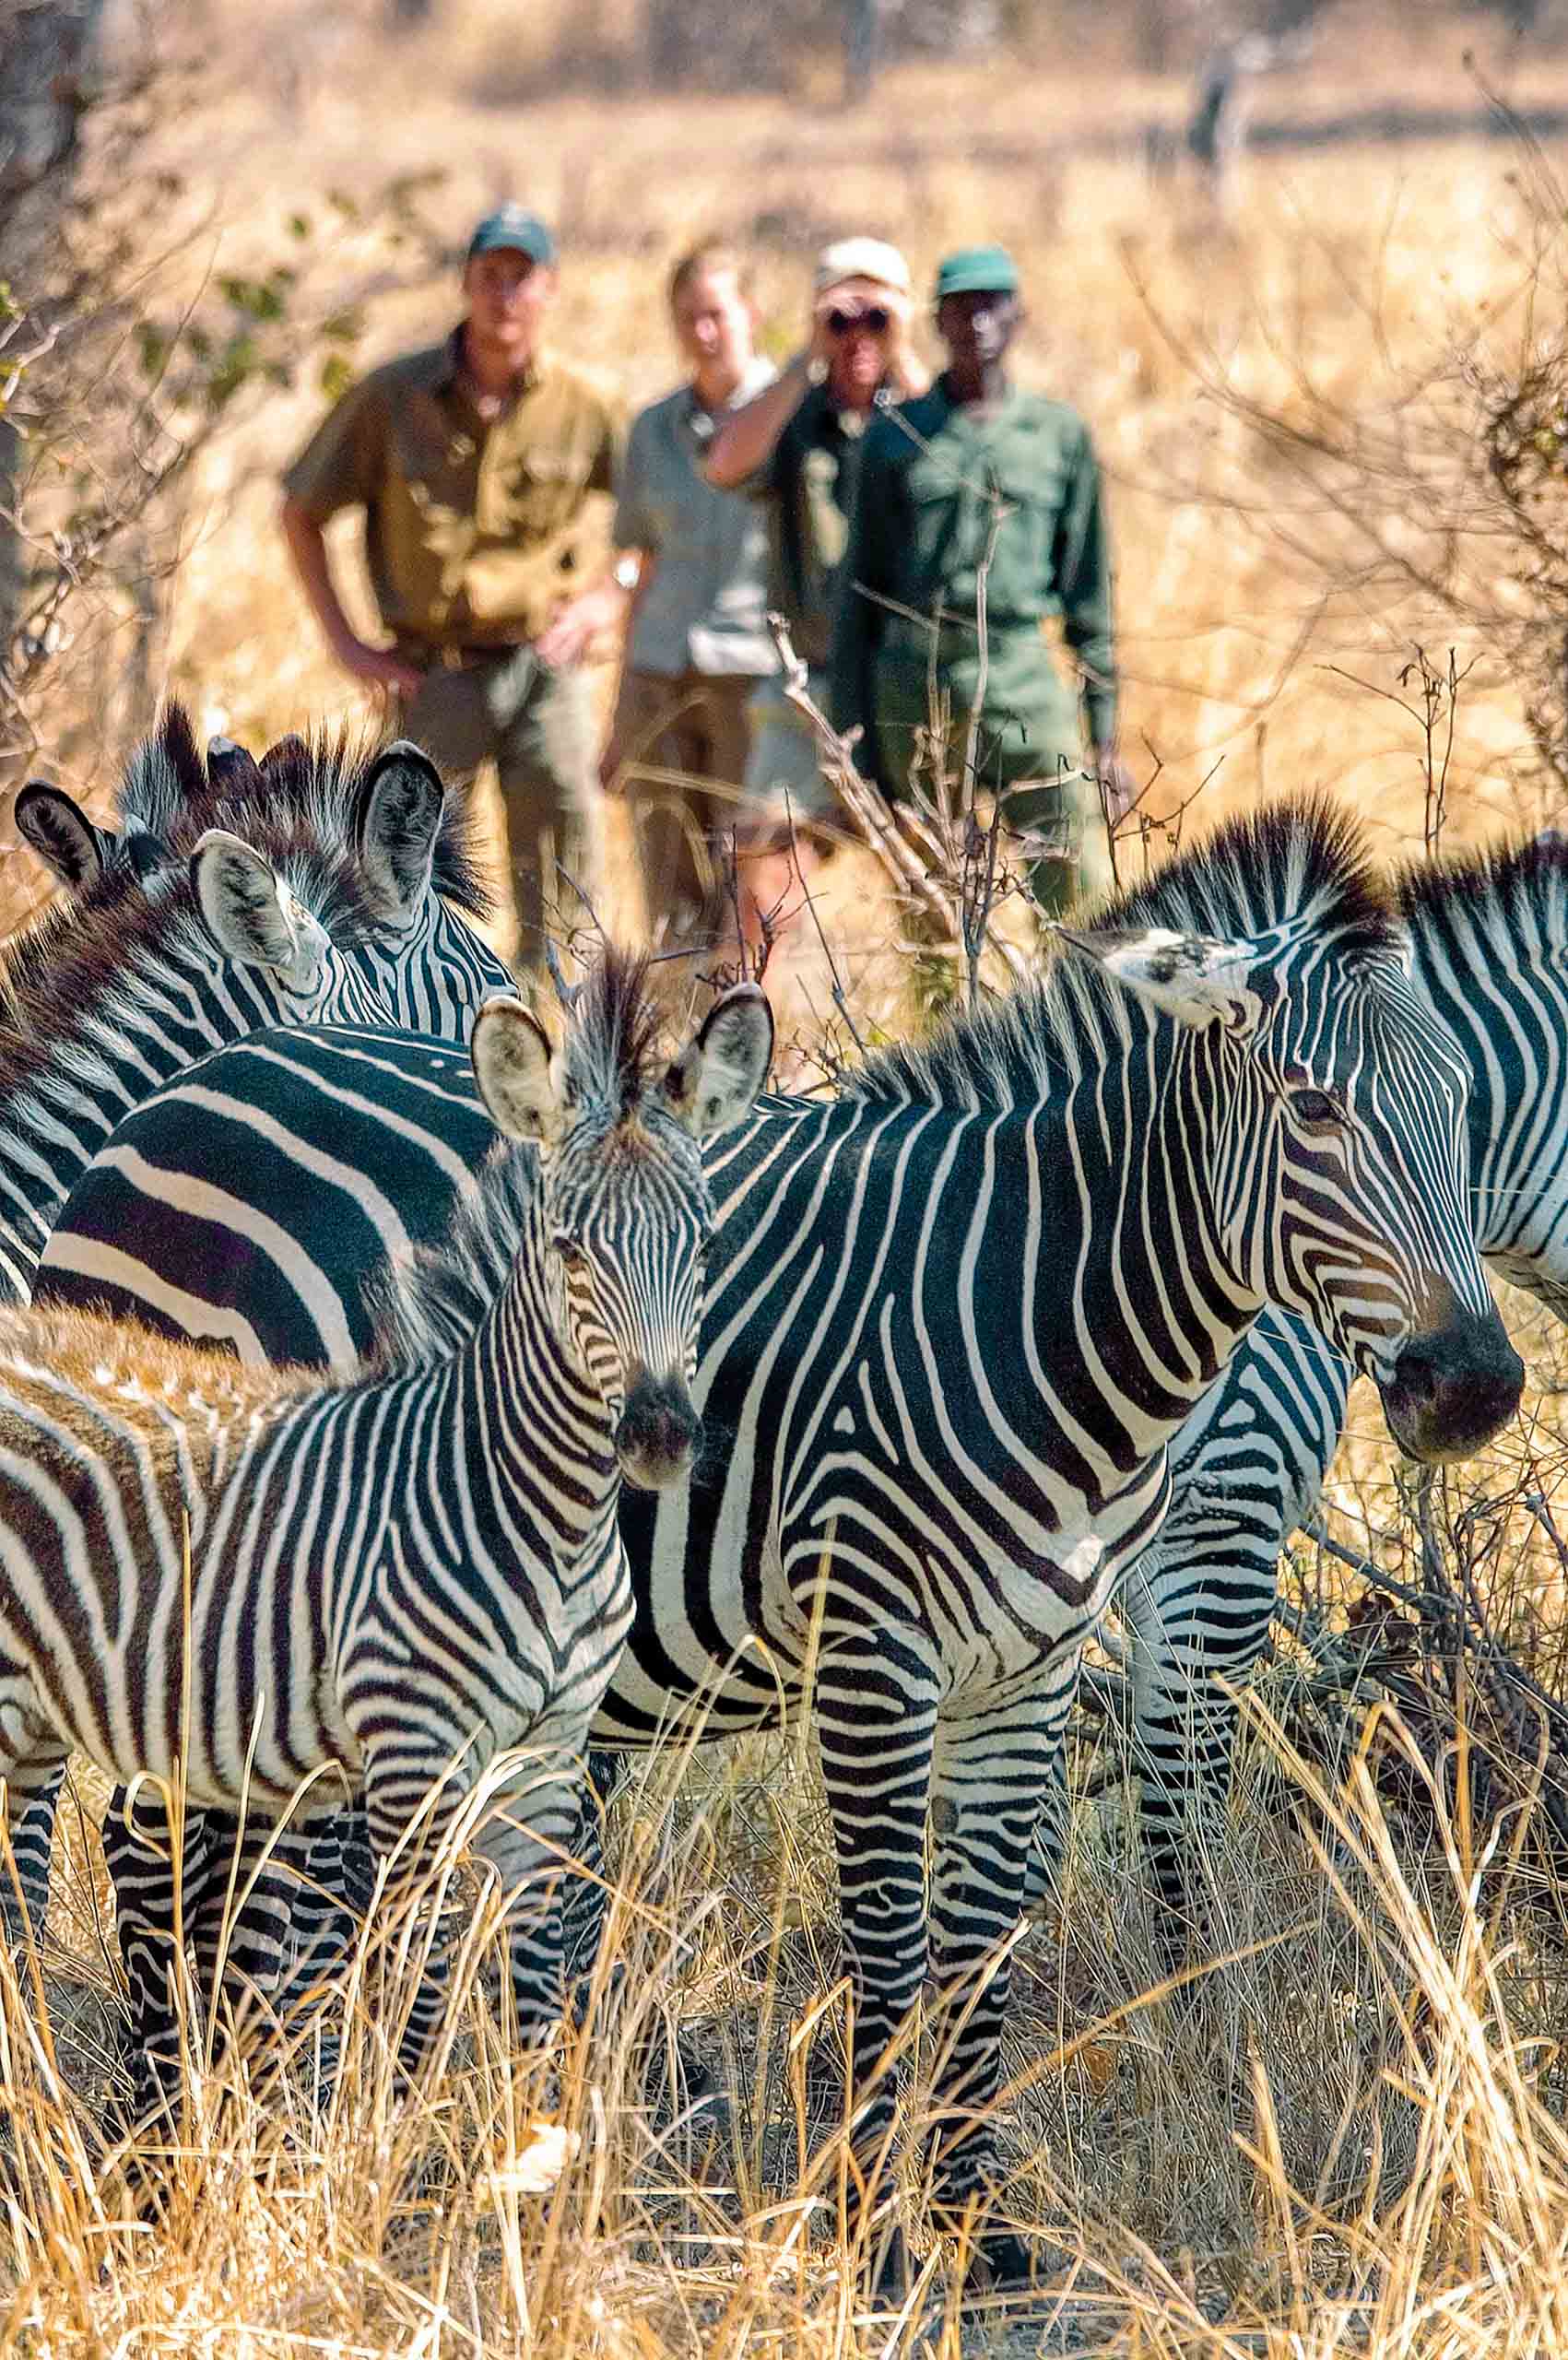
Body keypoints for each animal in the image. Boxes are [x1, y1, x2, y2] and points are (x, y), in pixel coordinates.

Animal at [0, 949, 770, 2133]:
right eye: (567, 1250)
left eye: (708, 1246)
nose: (659, 1433)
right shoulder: (412, 1758)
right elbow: (415, 1967)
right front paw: (389, 2150)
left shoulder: (544, 1756)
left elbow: (535, 1991)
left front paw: (534, 2160)